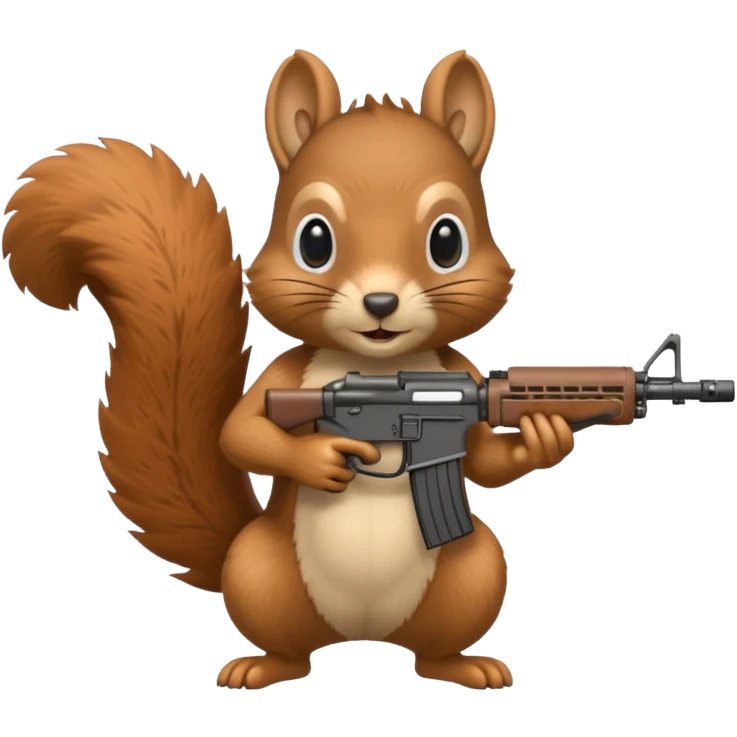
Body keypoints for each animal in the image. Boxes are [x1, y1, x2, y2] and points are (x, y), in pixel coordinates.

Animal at [1, 49, 574, 691]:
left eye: (447, 241)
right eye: (314, 241)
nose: (380, 303)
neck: (375, 365)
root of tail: (363, 634)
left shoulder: (456, 398)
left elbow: (485, 462)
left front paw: (543, 437)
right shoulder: (293, 380)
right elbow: (240, 431)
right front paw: (322, 460)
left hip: (474, 574)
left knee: (437, 640)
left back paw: (463, 664)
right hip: (258, 573)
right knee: (286, 641)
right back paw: (262, 665)